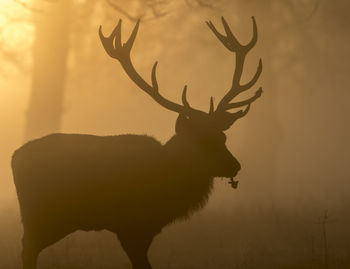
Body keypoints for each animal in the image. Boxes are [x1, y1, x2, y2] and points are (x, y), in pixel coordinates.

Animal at [11, 17, 262, 268]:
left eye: (223, 136)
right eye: (199, 140)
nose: (234, 165)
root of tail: (15, 157)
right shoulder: (130, 225)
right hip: (43, 214)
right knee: (27, 249)